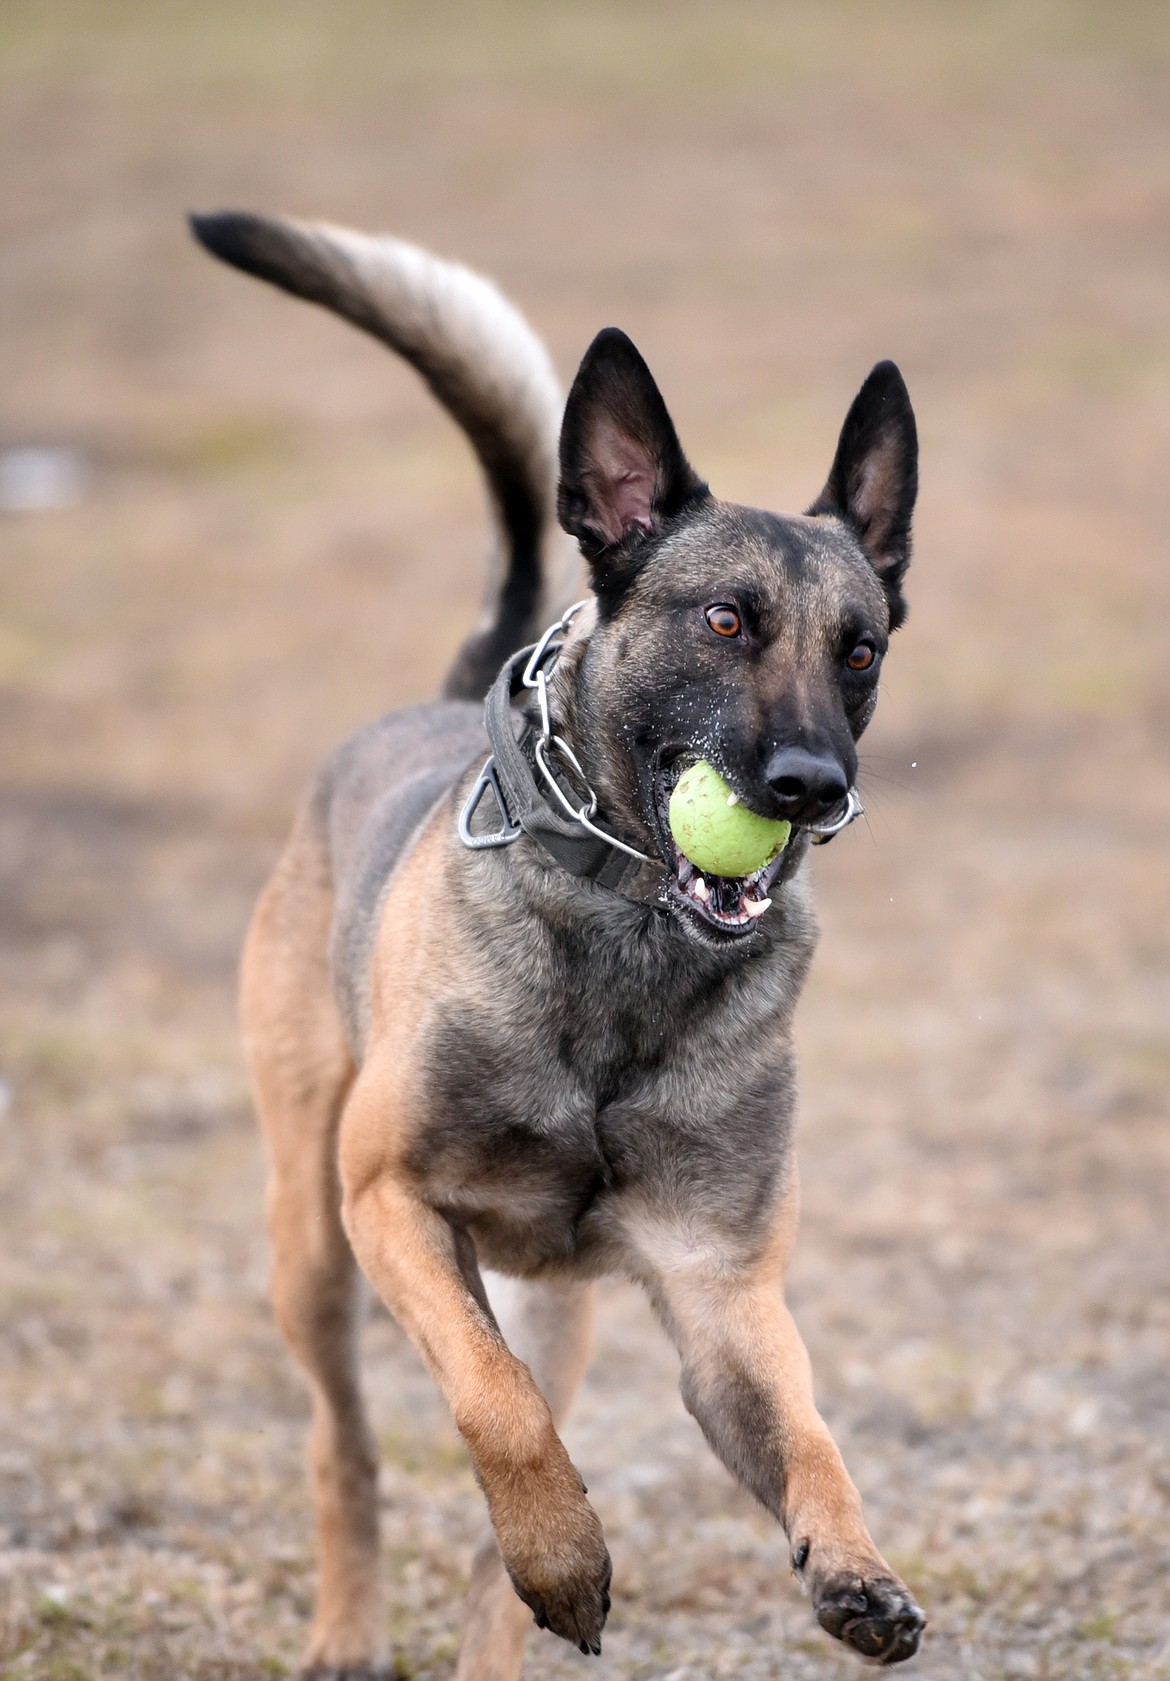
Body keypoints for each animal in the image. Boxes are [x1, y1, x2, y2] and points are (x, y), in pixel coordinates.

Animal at [191, 213, 921, 1681]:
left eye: (861, 649)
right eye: (724, 621)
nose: (813, 787)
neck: (626, 941)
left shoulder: (719, 1289)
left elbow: (808, 1439)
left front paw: (853, 1562)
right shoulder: (389, 1204)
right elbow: (495, 1401)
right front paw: (565, 1548)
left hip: (558, 1304)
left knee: (490, 1546)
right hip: (311, 1246)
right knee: (345, 1442)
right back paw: (355, 1625)